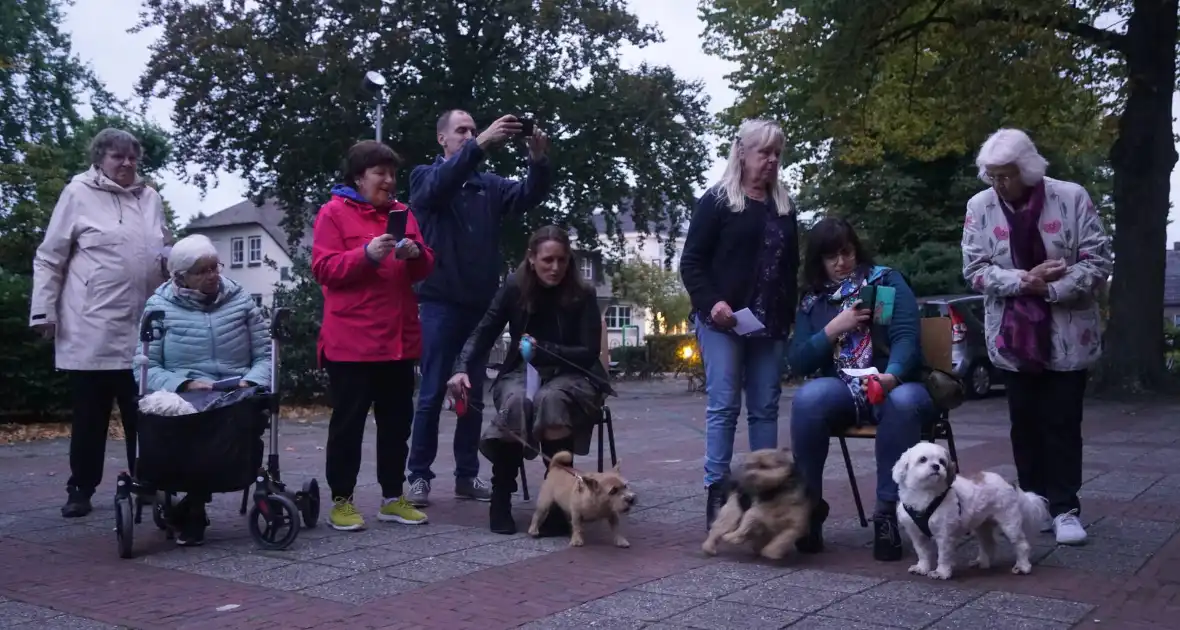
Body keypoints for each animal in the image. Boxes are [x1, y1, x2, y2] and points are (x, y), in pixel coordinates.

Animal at [892, 443, 1052, 582]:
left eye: (942, 461)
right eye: (923, 459)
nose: (936, 466)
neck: (925, 495)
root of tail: (1009, 483)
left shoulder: (944, 534)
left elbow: (943, 555)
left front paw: (941, 572)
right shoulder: (915, 533)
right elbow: (922, 552)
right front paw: (922, 568)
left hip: (1009, 523)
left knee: (1021, 544)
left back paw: (1023, 567)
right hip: (983, 525)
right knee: (988, 543)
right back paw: (982, 562)